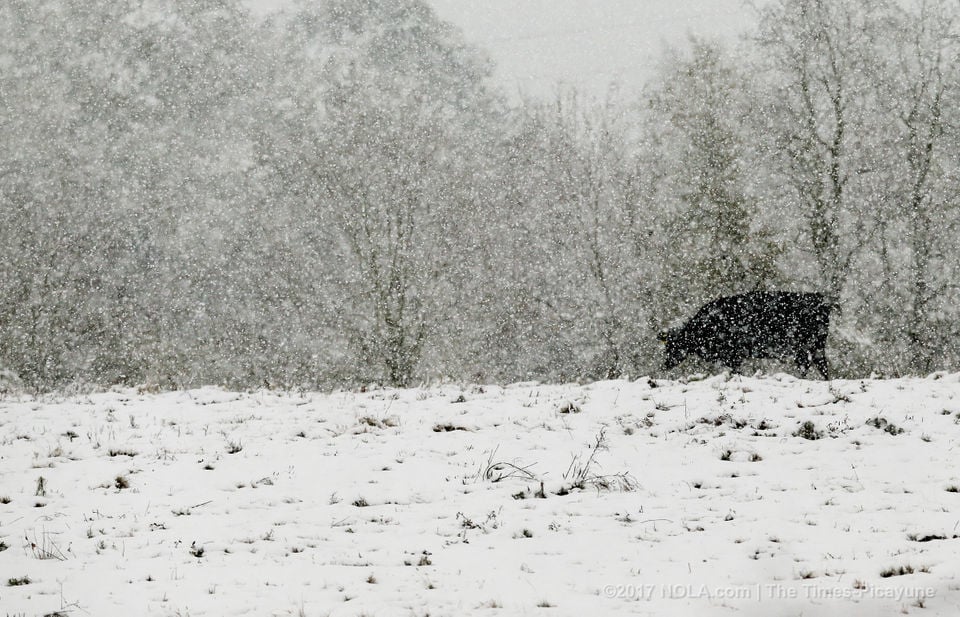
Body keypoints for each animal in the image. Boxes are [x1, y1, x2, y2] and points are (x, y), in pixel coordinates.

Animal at [664, 292, 828, 378]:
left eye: (673, 347)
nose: (665, 364)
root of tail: (819, 297)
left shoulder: (733, 355)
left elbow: (736, 371)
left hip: (809, 346)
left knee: (813, 365)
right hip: (812, 348)